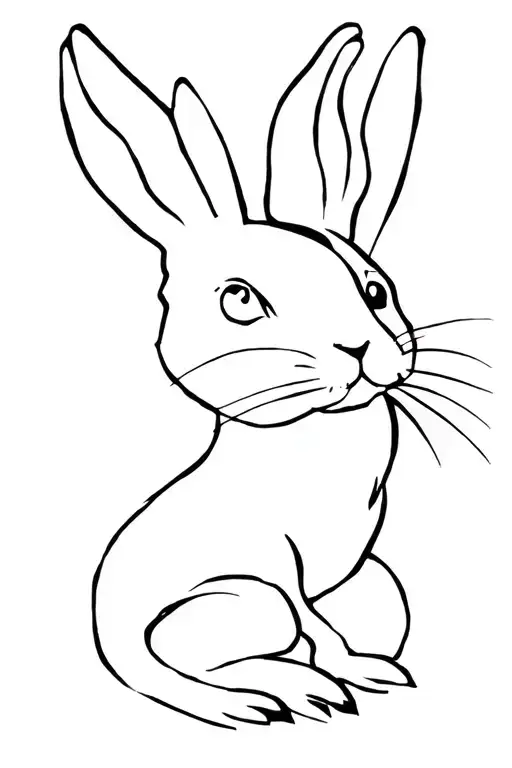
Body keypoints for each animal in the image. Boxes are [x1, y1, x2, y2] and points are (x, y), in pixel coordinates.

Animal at [60, 22, 427, 728]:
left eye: (374, 290)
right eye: (239, 300)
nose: (359, 349)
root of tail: (112, 644)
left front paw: (370, 671)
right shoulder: (276, 560)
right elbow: (316, 626)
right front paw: (347, 675)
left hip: (376, 586)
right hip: (248, 601)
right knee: (209, 662)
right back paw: (293, 693)